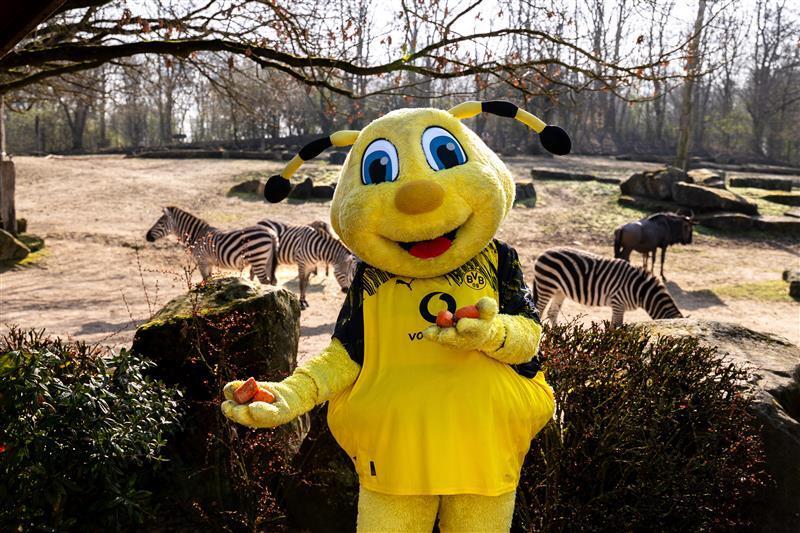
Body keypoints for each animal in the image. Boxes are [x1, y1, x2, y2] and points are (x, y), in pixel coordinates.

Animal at [145, 206, 279, 286]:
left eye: (160, 223)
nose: (147, 236)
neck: (196, 235)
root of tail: (269, 232)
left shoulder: (202, 262)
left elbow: (205, 280)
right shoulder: (208, 263)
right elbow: (209, 279)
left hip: (258, 259)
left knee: (264, 281)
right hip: (267, 261)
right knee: (272, 282)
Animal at [532, 247, 682, 327]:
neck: (640, 291)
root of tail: (543, 252)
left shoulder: (619, 306)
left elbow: (613, 325)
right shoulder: (618, 302)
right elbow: (617, 326)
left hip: (559, 290)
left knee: (552, 312)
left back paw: (558, 336)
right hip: (546, 286)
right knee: (539, 310)